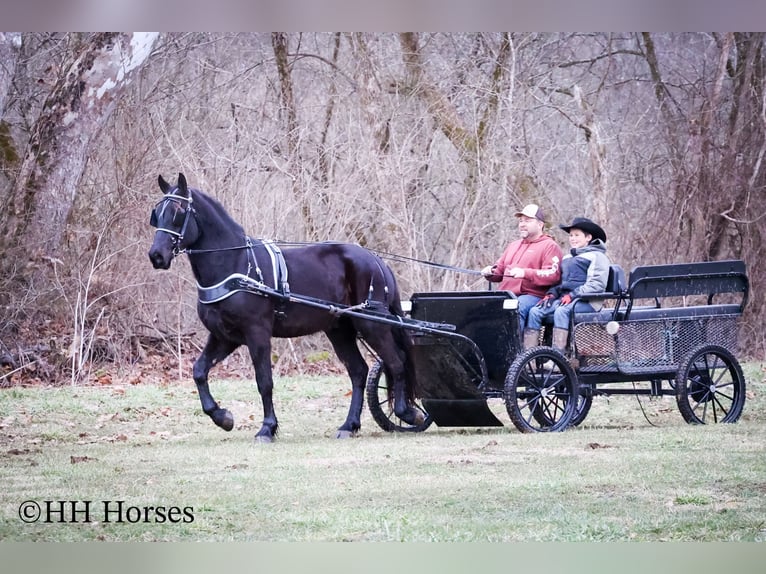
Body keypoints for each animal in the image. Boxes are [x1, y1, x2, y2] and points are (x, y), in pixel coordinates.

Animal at [148, 173, 426, 444]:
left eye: (177, 212)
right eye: (157, 213)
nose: (156, 256)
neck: (235, 264)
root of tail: (375, 260)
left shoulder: (257, 332)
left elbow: (264, 381)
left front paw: (266, 428)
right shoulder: (225, 337)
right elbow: (199, 371)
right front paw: (223, 417)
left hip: (372, 323)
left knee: (397, 362)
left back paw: (407, 412)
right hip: (339, 330)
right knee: (359, 372)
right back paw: (349, 425)